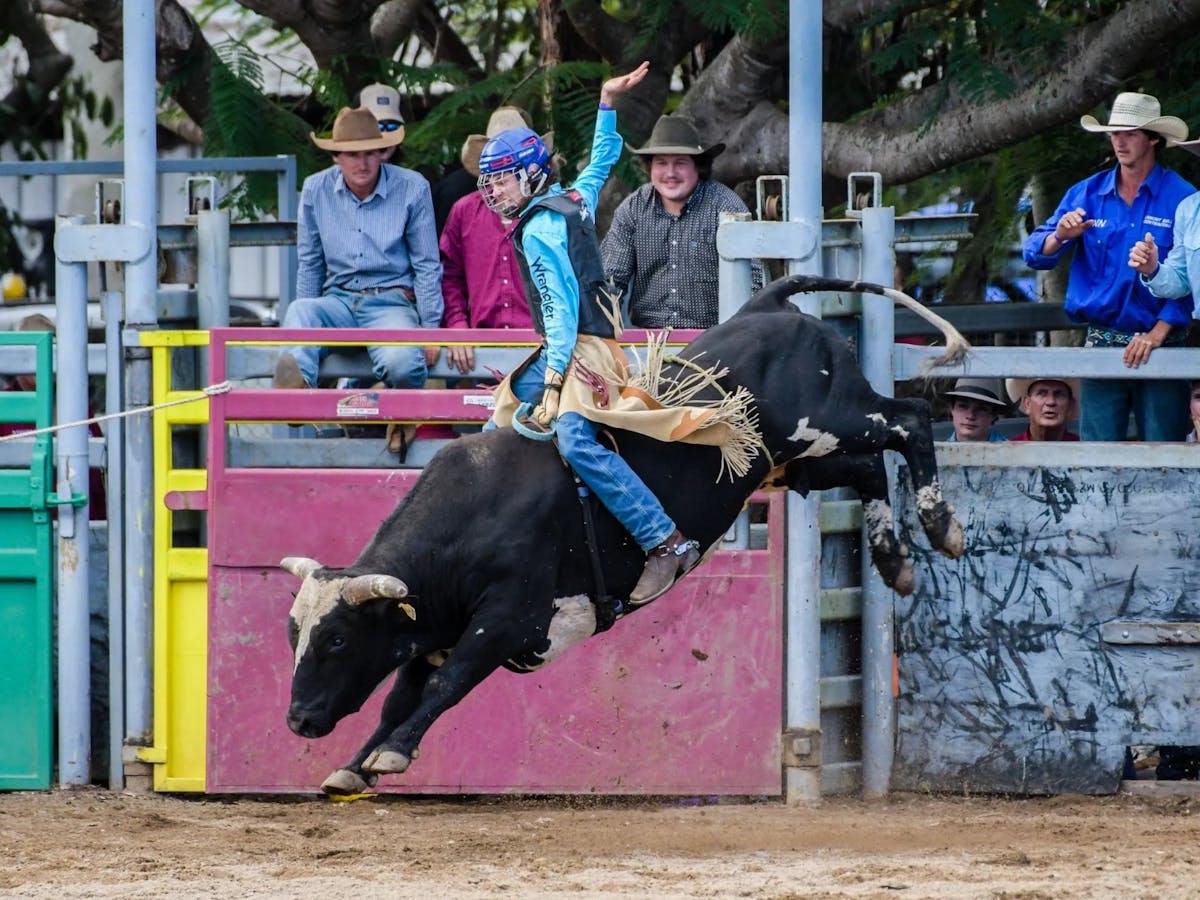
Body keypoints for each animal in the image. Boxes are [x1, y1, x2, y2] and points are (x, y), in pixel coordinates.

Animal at [281, 275, 968, 795]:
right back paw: (894, 561)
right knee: (870, 467)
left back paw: (942, 526)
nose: (298, 719)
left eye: (337, 639)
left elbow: (446, 686)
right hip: (799, 458)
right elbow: (402, 695)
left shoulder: (508, 618)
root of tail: (770, 303)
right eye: (296, 634)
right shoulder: (435, 631)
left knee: (911, 421)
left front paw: (390, 753)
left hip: (833, 417)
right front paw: (353, 766)